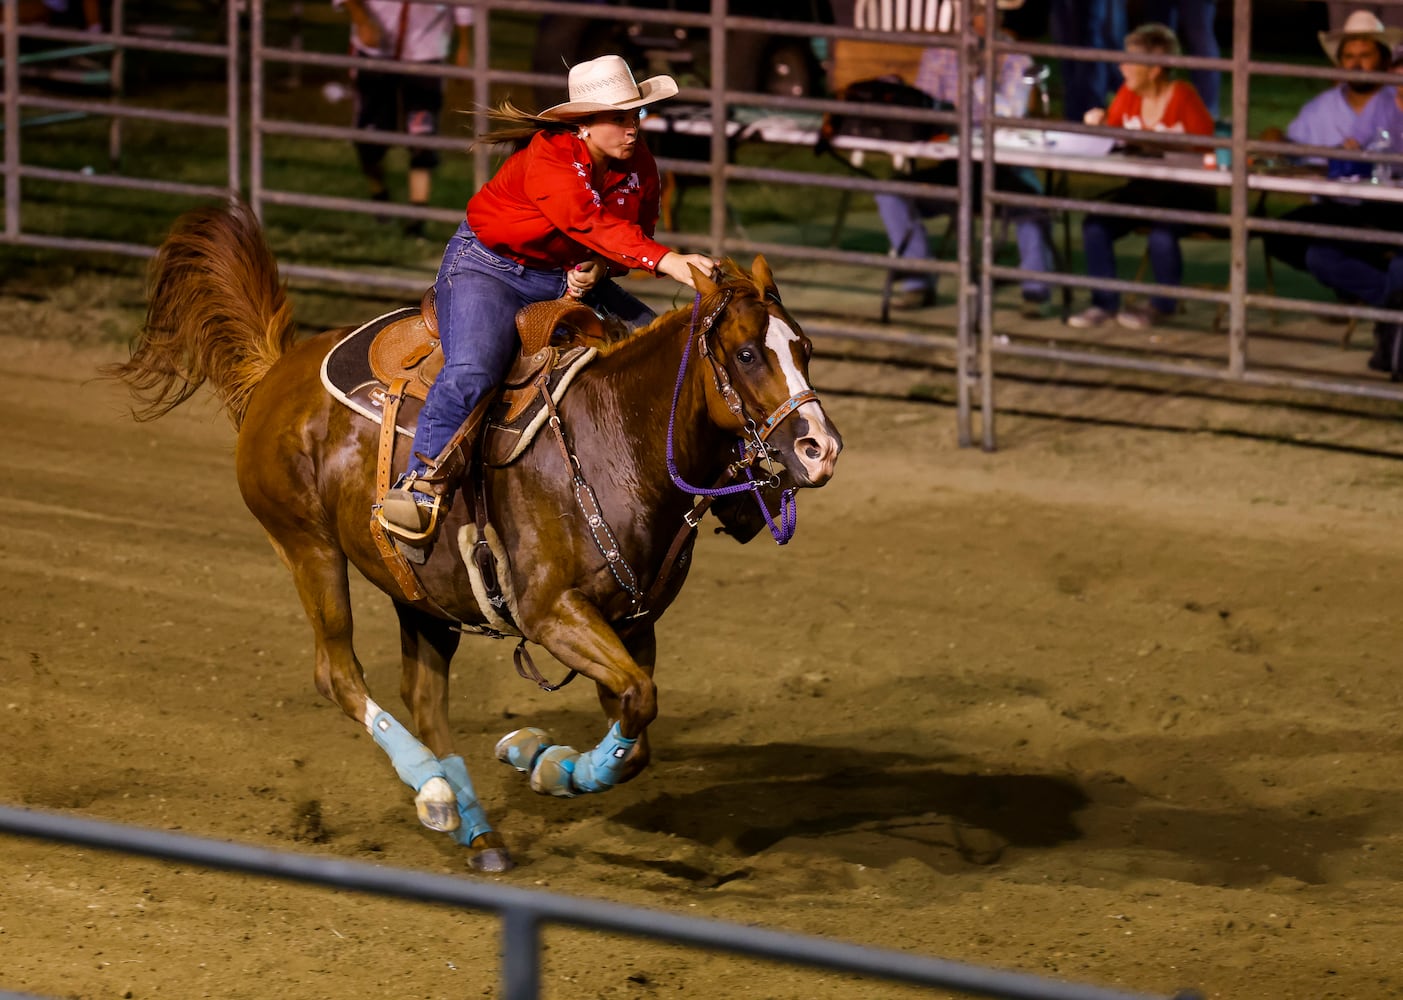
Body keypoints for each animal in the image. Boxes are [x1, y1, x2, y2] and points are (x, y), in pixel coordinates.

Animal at [106, 204, 841, 875]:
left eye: (804, 349)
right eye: (745, 353)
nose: (821, 448)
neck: (615, 440)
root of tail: (276, 372)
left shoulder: (633, 625)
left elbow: (636, 731)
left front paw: (539, 759)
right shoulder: (552, 613)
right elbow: (637, 703)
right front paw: (543, 763)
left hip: (420, 594)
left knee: (425, 700)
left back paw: (476, 828)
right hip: (307, 548)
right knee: (337, 672)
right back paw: (433, 791)